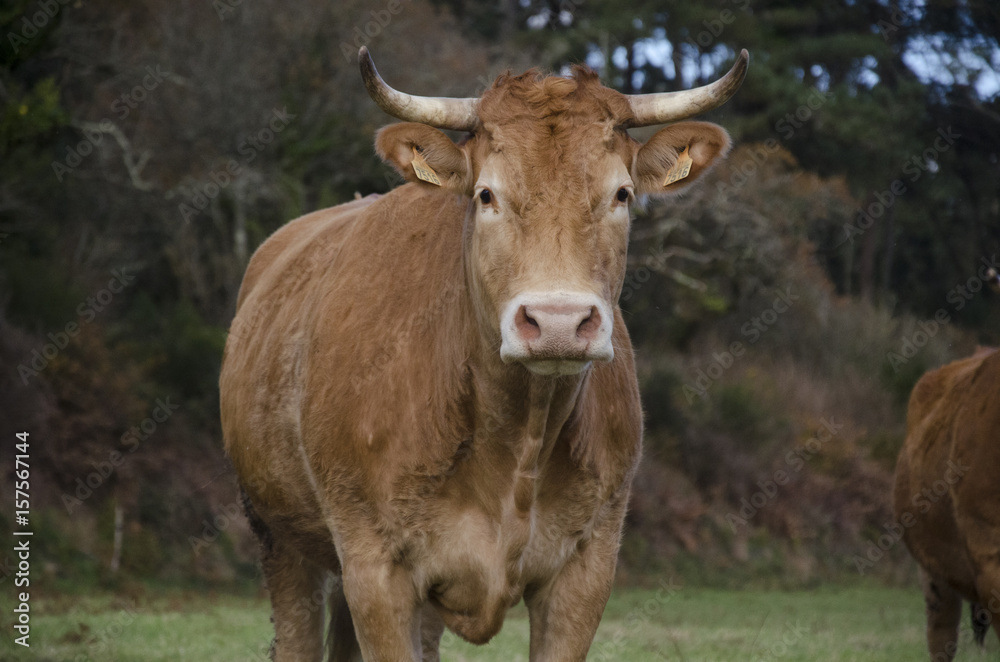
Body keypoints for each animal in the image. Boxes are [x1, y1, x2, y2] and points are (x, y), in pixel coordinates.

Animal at [221, 48, 752, 662]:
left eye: (621, 194)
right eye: (487, 195)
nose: (557, 322)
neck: (516, 443)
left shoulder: (587, 566)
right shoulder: (374, 568)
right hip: (279, 537)